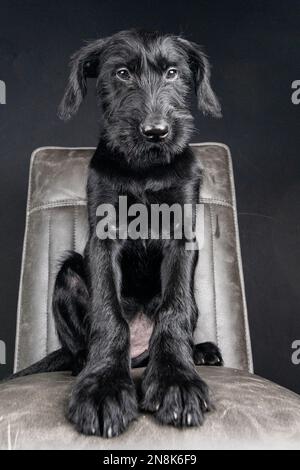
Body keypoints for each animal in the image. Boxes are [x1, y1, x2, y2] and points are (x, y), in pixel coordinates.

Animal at [12, 31, 223, 438]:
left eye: (173, 72)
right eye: (122, 73)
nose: (155, 131)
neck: (144, 169)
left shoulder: (182, 233)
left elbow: (175, 308)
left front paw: (176, 380)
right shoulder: (103, 237)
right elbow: (108, 314)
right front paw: (103, 386)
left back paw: (197, 351)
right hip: (69, 274)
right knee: (82, 340)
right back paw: (84, 363)